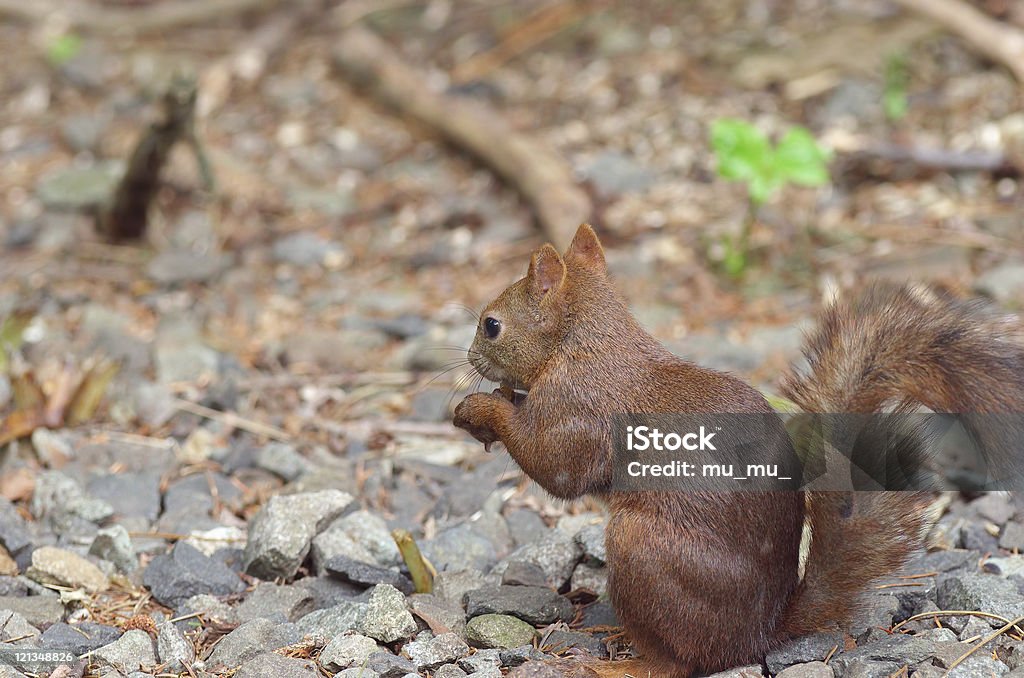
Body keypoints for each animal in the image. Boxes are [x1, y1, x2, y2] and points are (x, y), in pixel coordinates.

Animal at [452, 225, 1024, 678]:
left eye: (492, 324)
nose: (471, 357)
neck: (584, 344)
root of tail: (757, 635)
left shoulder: (576, 410)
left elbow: (555, 467)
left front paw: (480, 408)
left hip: (642, 549)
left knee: (679, 663)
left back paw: (618, 663)